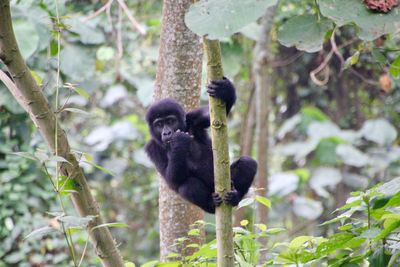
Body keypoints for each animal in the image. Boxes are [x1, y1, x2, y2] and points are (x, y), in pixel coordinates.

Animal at [145, 77, 258, 214]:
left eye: (170, 121)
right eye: (159, 124)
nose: (166, 133)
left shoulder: (193, 118)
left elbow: (213, 117)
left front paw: (225, 90)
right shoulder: (152, 148)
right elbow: (173, 179)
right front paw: (179, 143)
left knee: (248, 163)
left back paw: (234, 197)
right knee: (188, 185)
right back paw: (211, 204)